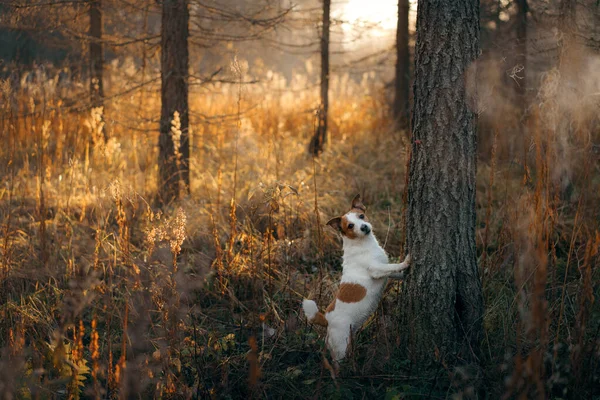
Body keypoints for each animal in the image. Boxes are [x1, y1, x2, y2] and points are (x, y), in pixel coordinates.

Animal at [302, 195, 410, 360]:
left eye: (361, 216)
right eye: (350, 226)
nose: (364, 227)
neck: (362, 244)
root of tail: (326, 319)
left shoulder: (384, 270)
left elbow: (394, 271)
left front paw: (404, 274)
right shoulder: (377, 269)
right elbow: (393, 266)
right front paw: (407, 262)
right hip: (341, 345)